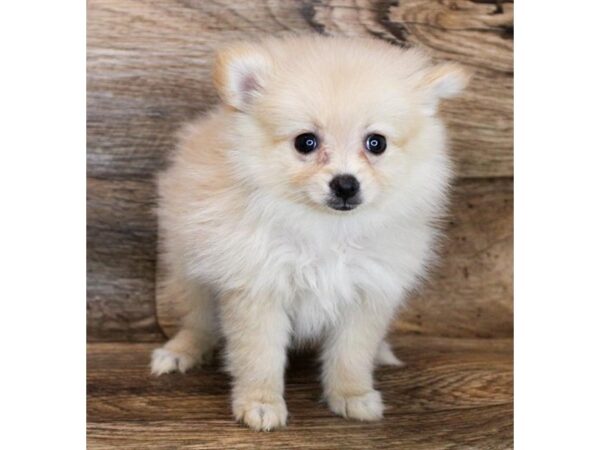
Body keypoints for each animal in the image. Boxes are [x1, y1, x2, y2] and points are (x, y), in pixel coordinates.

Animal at [151, 34, 468, 428]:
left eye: (376, 143)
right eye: (306, 142)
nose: (345, 184)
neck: (325, 229)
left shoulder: (367, 292)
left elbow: (352, 353)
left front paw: (352, 395)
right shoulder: (258, 288)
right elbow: (259, 356)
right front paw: (260, 403)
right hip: (190, 271)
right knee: (199, 322)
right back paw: (179, 352)